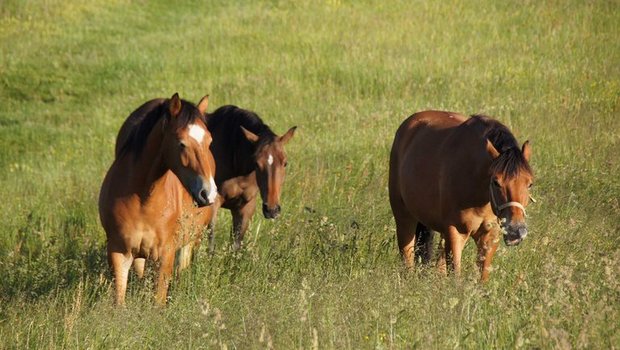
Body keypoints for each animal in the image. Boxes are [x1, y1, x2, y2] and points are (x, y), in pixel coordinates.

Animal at [99, 93, 218, 304]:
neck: (143, 199)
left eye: (209, 141)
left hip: (189, 240)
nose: (208, 193)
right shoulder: (118, 252)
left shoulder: (165, 255)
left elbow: (158, 301)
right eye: (181, 143)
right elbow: (119, 300)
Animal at [206, 105, 296, 250]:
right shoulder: (213, 204)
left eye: (285, 163)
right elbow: (211, 245)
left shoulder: (245, 208)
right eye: (256, 163)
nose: (272, 210)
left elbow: (236, 246)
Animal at [390, 110, 536, 280]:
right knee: (407, 255)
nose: (516, 230)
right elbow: (456, 275)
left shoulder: (490, 236)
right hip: (404, 217)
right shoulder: (456, 232)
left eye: (530, 183)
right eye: (496, 182)